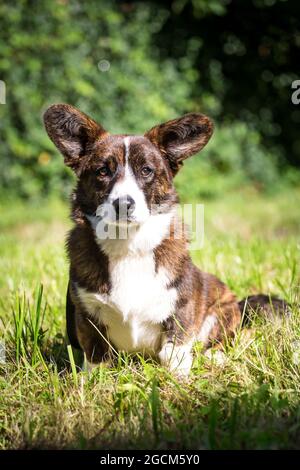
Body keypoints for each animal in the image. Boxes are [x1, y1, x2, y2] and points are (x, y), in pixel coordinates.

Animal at [42, 104, 288, 376]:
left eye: (146, 170)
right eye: (103, 171)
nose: (123, 204)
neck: (129, 245)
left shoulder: (182, 308)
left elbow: (174, 350)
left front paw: (178, 377)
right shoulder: (86, 315)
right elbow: (96, 356)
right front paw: (91, 381)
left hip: (223, 308)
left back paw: (215, 356)